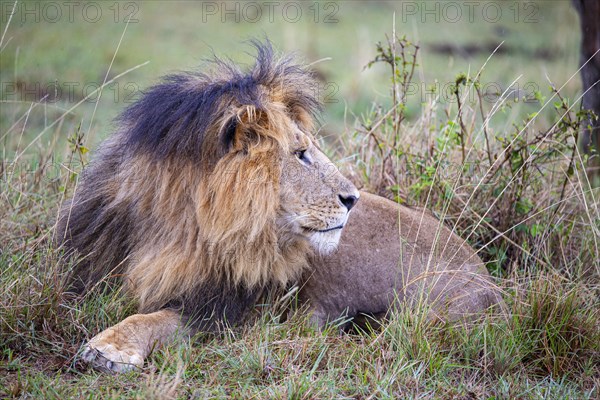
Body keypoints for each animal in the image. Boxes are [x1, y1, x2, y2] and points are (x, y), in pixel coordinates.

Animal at [58, 42, 502, 374]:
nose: (353, 199)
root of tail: (490, 284)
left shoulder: (229, 310)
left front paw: (110, 347)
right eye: (301, 153)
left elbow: (155, 317)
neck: (182, 228)